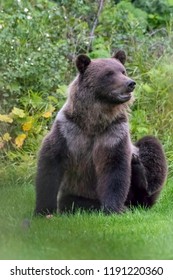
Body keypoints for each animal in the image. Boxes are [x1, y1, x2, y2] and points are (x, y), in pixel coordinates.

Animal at [34, 50, 168, 217]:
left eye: (123, 71)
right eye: (109, 73)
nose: (130, 83)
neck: (94, 122)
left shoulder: (114, 133)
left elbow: (115, 169)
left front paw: (113, 208)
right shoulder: (68, 131)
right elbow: (50, 164)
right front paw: (43, 209)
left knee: (151, 151)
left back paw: (137, 172)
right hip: (77, 193)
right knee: (71, 202)